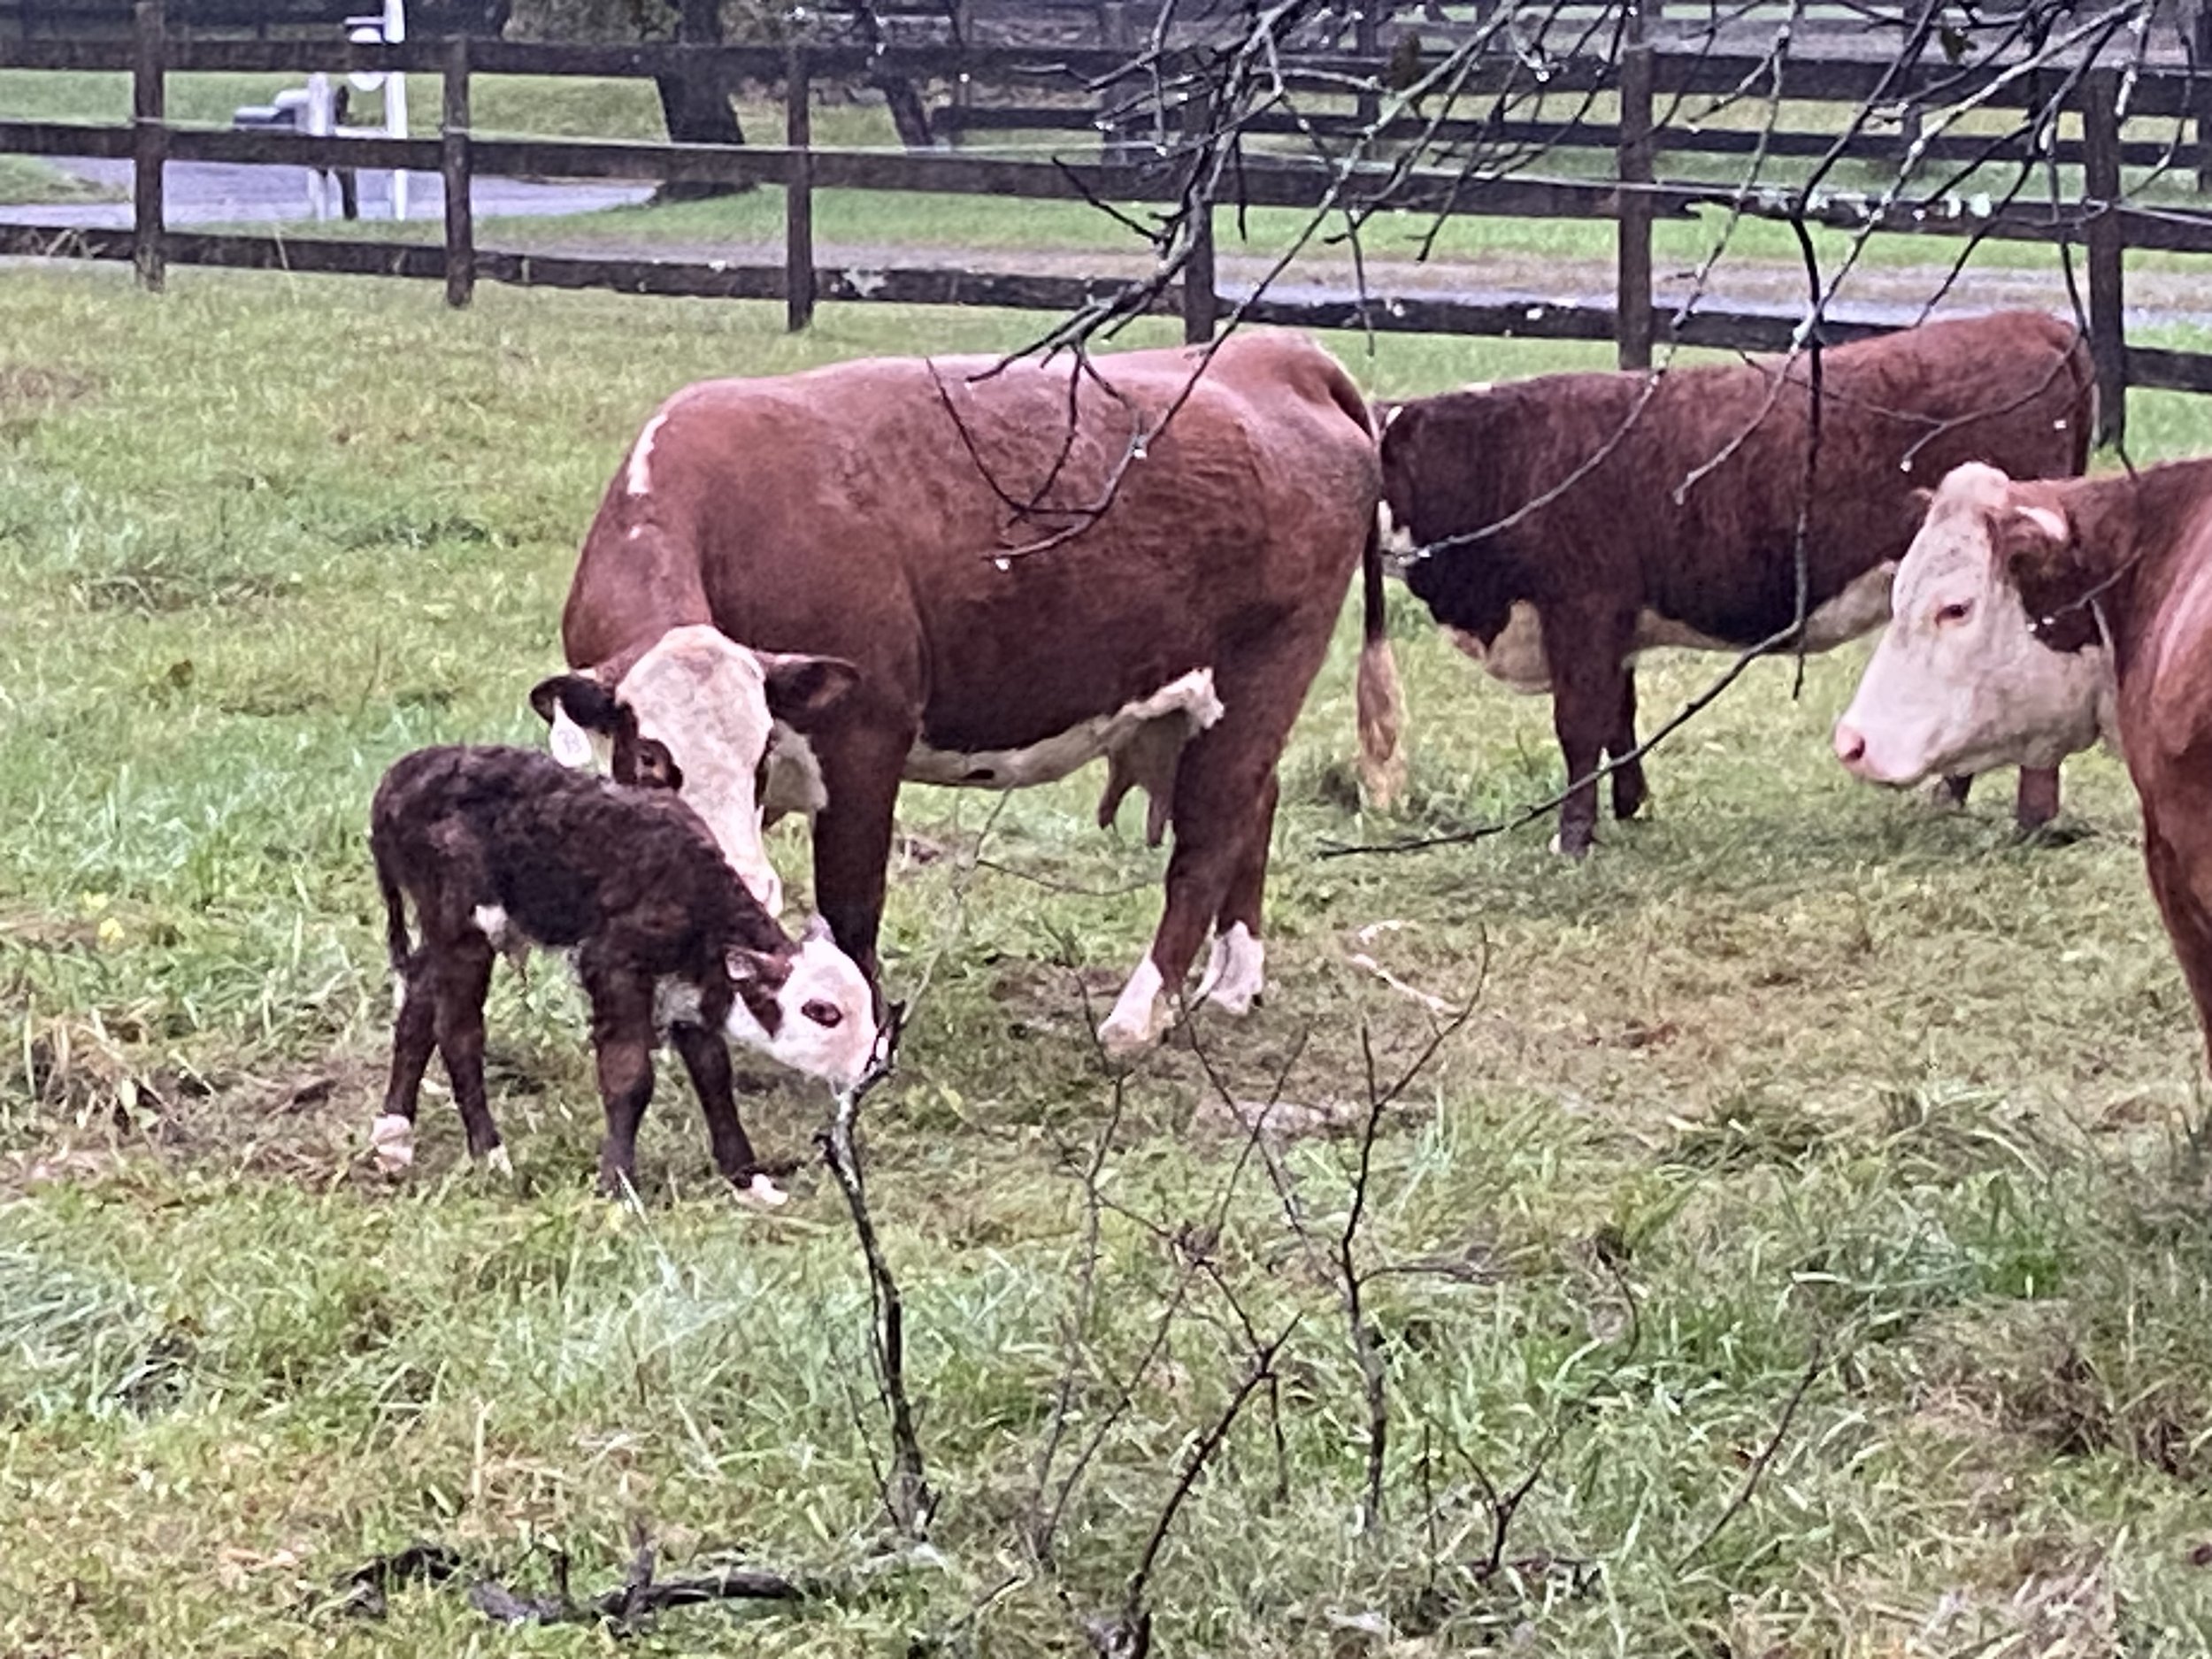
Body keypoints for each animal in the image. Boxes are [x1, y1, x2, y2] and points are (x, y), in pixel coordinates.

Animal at [368, 745, 880, 1201]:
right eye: (822, 1011)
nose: (874, 1065)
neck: (697, 897)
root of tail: (397, 781)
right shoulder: (615, 965)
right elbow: (629, 1077)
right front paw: (618, 1184)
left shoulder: (686, 985)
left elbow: (714, 1073)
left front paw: (747, 1178)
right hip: (464, 928)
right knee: (457, 1033)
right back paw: (491, 1155)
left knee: (417, 1007)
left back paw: (394, 1138)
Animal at [527, 330, 1402, 1058]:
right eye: (650, 757)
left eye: (762, 749)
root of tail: (1275, 355)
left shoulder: (864, 736)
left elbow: (852, 904)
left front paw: (864, 1040)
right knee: (1256, 807)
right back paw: (1233, 982)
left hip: (1260, 679)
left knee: (1210, 839)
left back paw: (1137, 1015)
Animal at [1377, 310, 2095, 856]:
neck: (1507, 457)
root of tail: (2034, 323)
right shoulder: (1612, 626)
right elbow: (1619, 718)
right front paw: (1632, 807)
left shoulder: (1580, 608)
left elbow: (1580, 725)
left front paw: (1573, 838)